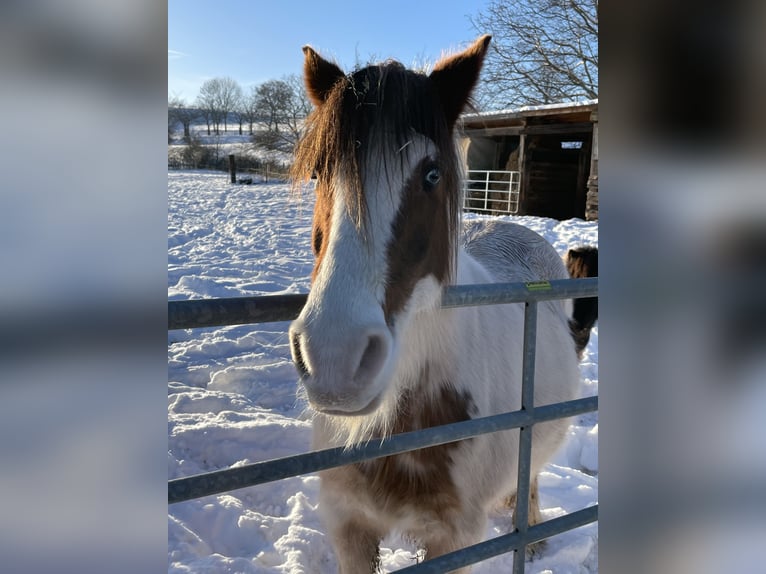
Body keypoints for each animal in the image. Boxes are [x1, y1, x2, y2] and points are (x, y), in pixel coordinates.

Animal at [292, 35, 596, 572]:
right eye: (319, 171)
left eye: (431, 174)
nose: (333, 358)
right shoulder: (349, 525)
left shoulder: (454, 539)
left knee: (531, 474)